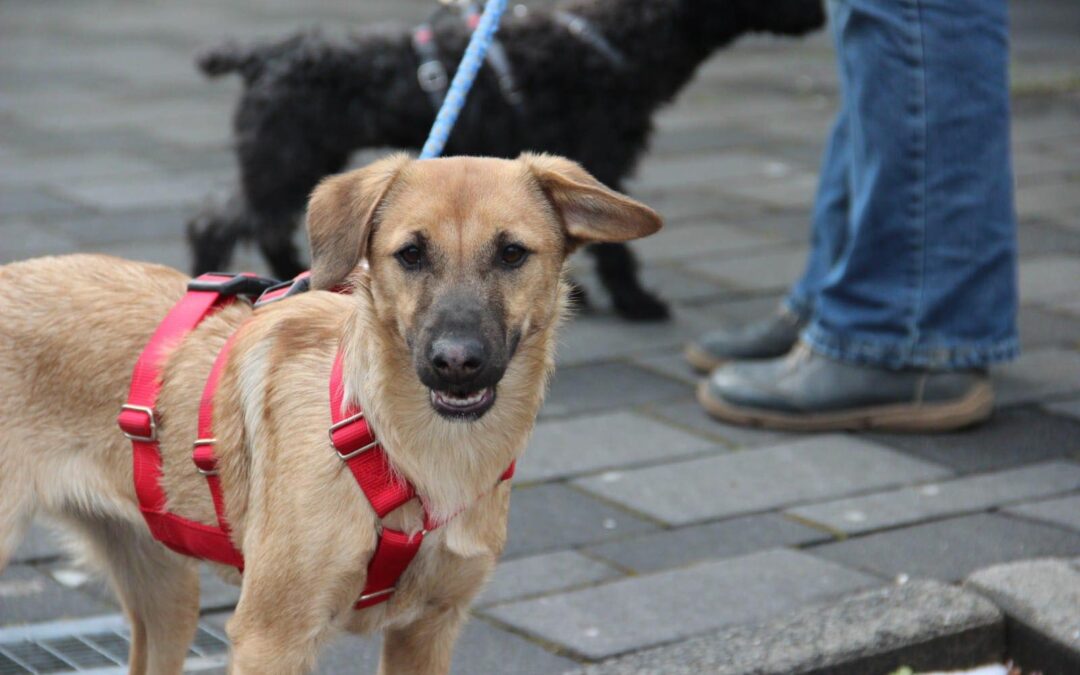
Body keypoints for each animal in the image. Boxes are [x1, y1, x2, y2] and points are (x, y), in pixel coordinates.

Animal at [0, 154, 656, 673]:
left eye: (513, 253)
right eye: (410, 254)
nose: (456, 362)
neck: (405, 446)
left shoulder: (428, 629)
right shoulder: (271, 638)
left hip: (166, 591)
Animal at [190, 0, 820, 319]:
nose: (819, 13)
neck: (617, 37)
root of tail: (264, 54)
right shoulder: (601, 157)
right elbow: (616, 252)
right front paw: (635, 302)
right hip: (283, 154)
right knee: (218, 219)